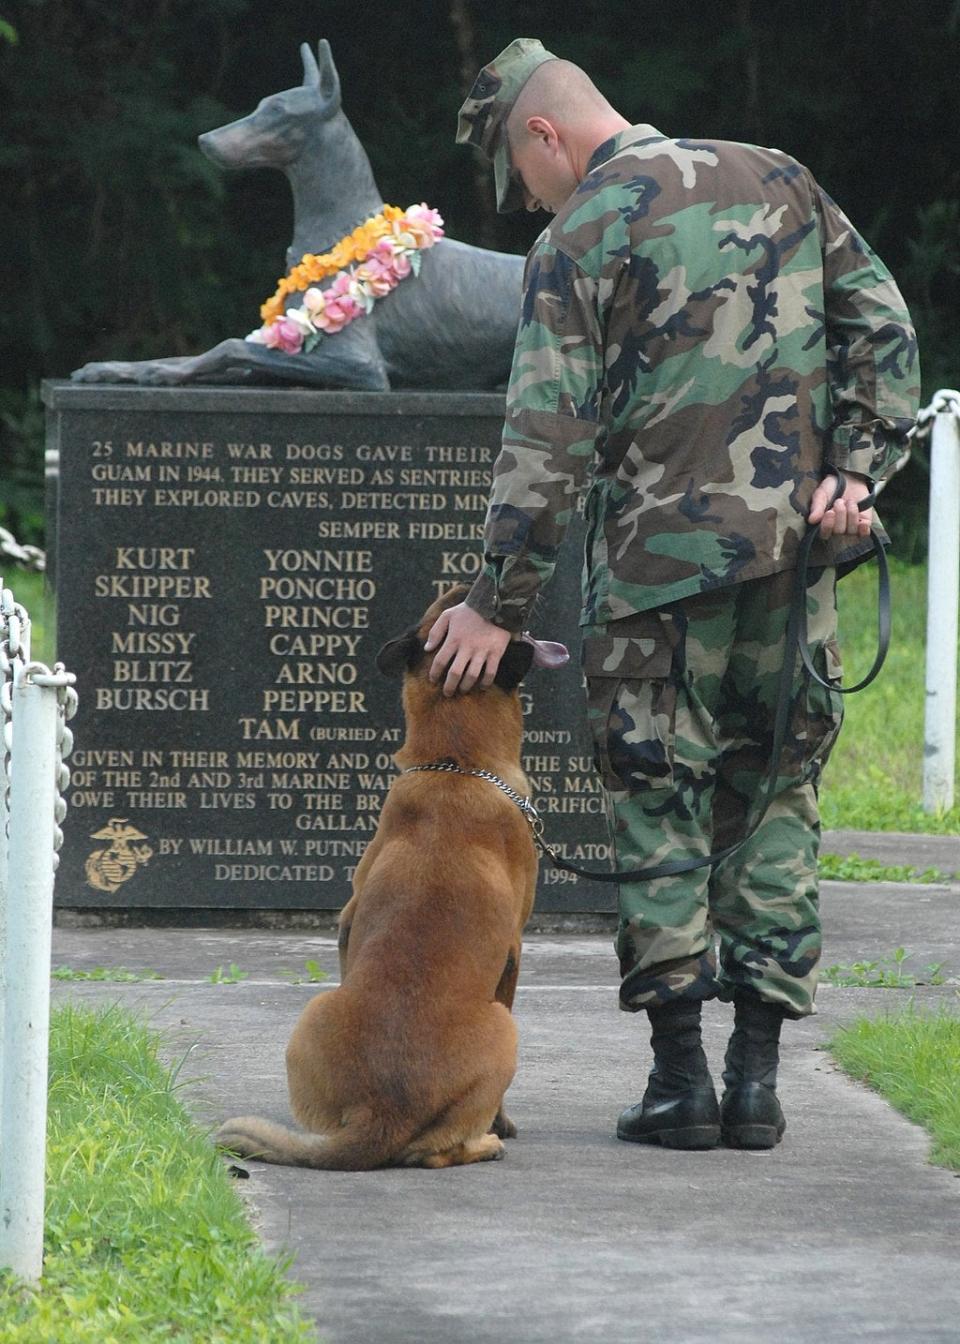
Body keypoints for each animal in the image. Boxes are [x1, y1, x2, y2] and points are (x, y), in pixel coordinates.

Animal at [213, 588, 537, 1166]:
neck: (454, 762)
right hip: (505, 1029)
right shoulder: (515, 953)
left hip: (314, 1013)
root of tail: (381, 1114)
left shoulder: (347, 920)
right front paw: (505, 1123)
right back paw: (487, 1141)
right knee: (436, 1152)